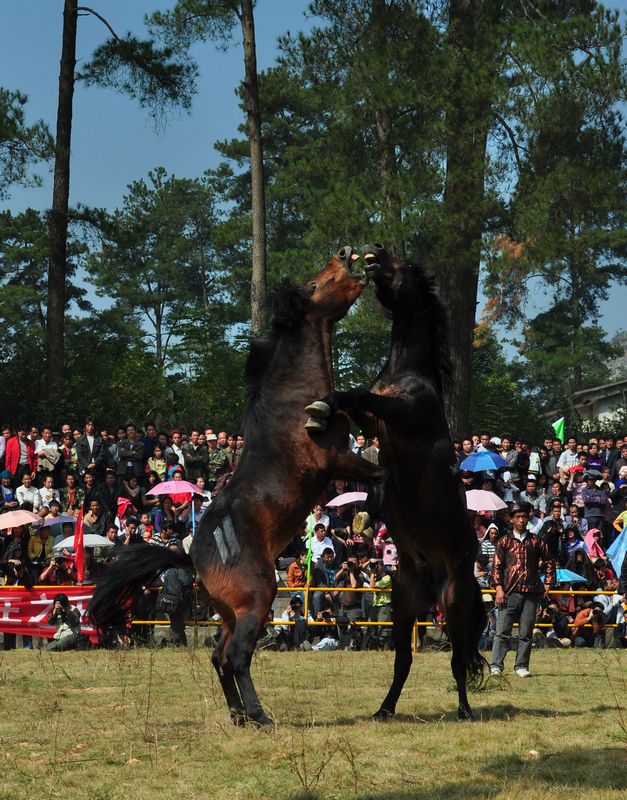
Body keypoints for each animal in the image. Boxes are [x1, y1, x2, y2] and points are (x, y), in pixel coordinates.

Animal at [87, 248, 382, 724]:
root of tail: (192, 557)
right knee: (237, 657)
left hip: (229, 613)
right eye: (315, 284)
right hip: (258, 601)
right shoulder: (335, 459)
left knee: (219, 656)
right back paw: (259, 716)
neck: (293, 400)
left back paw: (239, 714)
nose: (344, 253)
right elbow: (377, 472)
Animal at [306, 242, 488, 720]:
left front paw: (320, 406)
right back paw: (383, 710)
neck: (408, 374)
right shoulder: (375, 420)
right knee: (404, 659)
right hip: (403, 606)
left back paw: (464, 710)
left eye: (403, 265)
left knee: (458, 657)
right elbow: (356, 403)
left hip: (454, 600)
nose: (373, 250)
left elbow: (355, 394)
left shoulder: (401, 413)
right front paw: (321, 413)